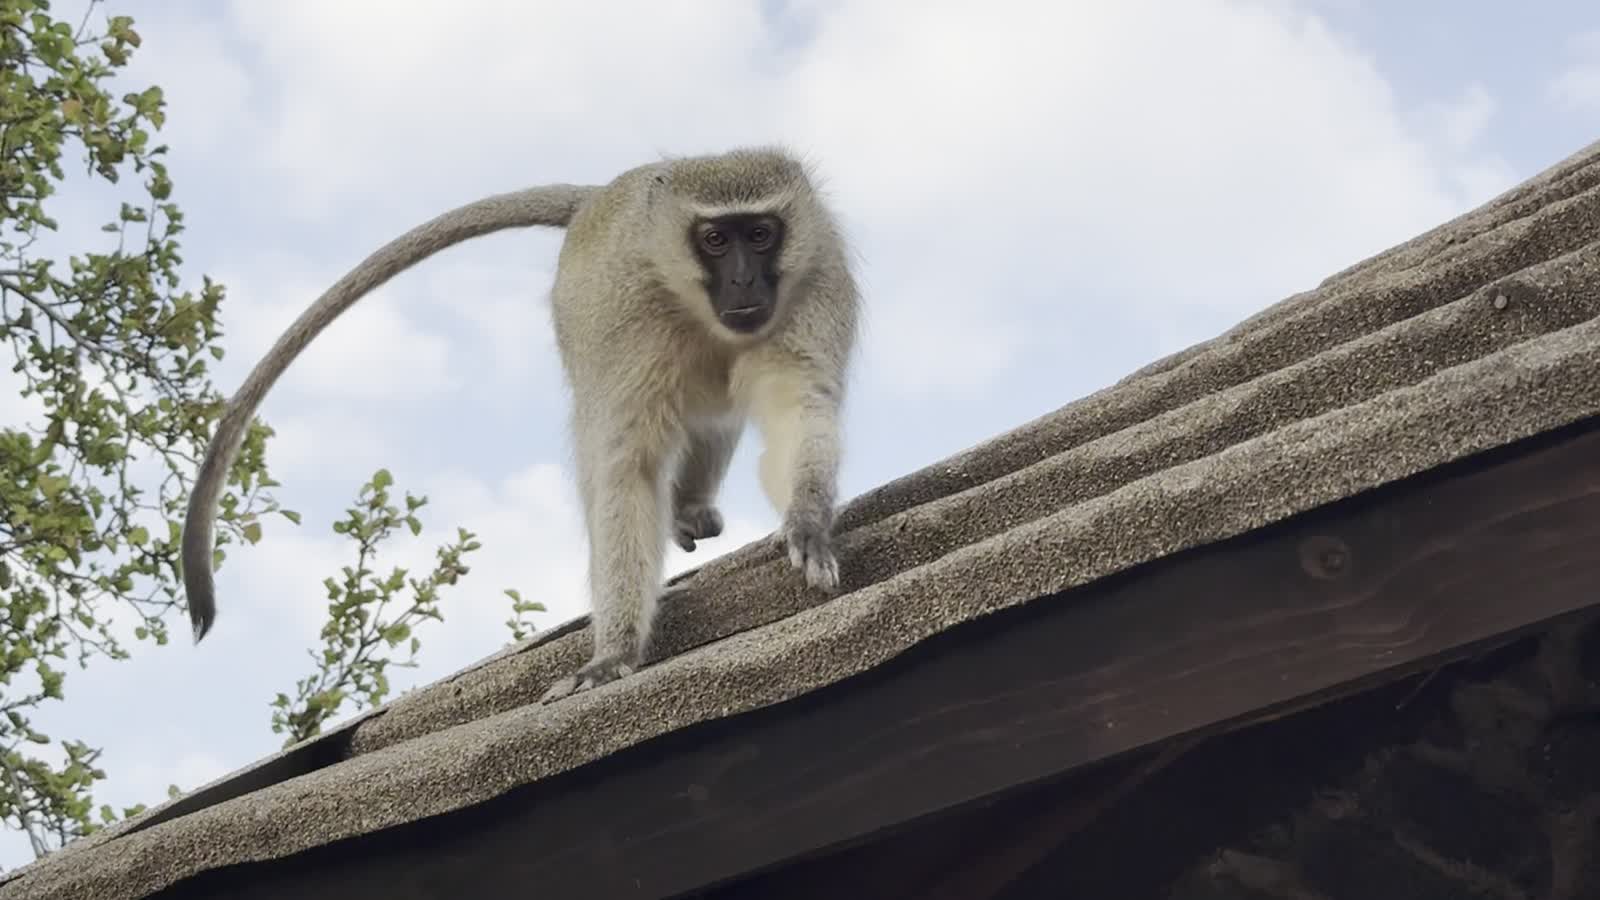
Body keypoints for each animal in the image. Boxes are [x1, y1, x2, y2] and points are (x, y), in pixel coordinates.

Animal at [180, 146, 858, 704]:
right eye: (716, 240)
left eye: (762, 234)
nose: (743, 279)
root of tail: (602, 194)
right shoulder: (625, 320)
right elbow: (626, 471)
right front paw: (614, 653)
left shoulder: (817, 278)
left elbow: (799, 407)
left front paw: (806, 522)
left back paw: (691, 500)